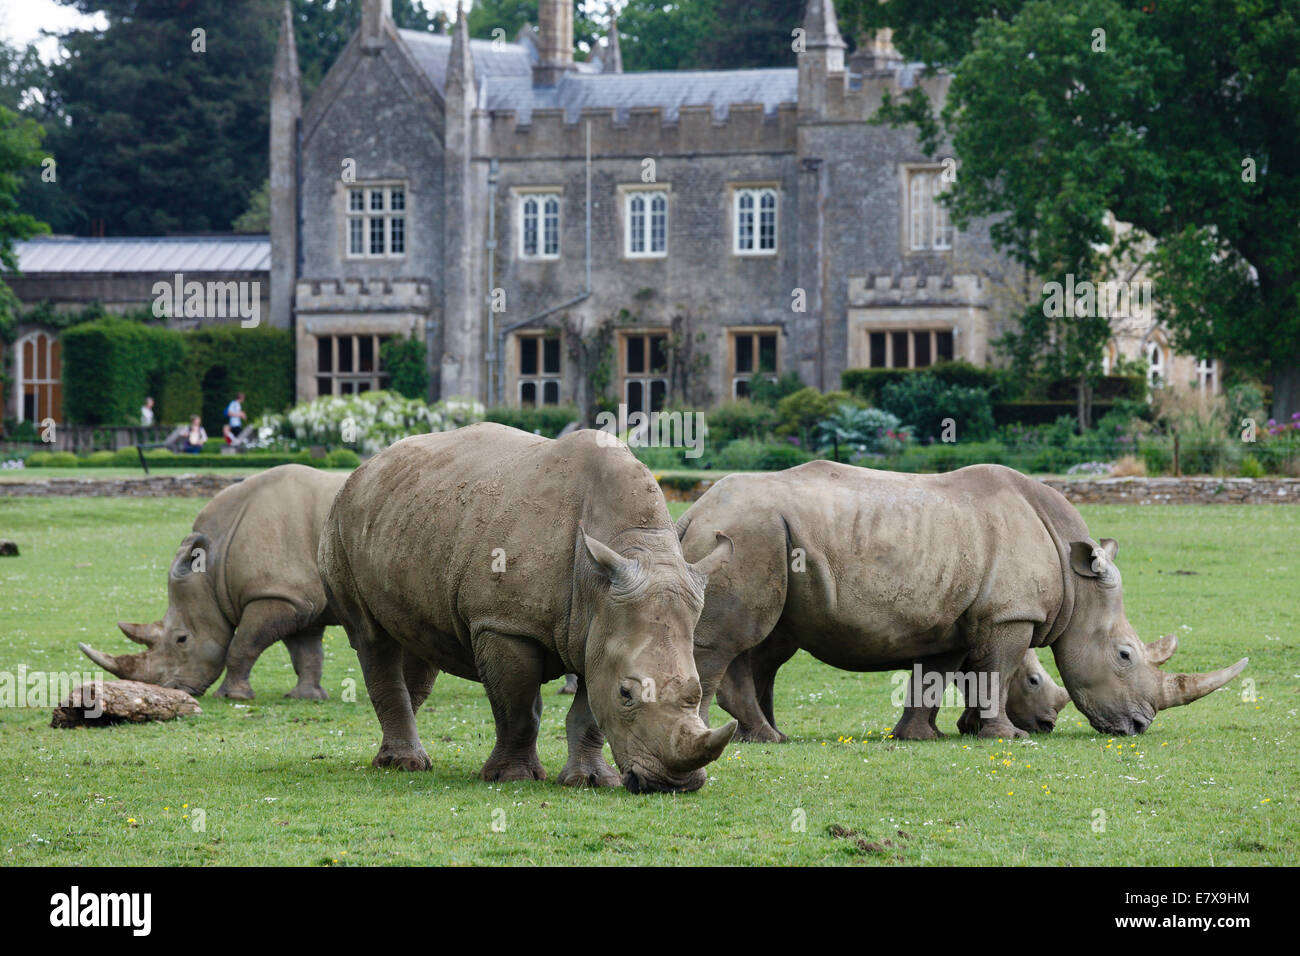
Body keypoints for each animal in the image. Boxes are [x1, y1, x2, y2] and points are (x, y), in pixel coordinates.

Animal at [80, 465, 347, 700]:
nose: (170, 690)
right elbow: (306, 653)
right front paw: (306, 697)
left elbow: (242, 645)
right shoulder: (298, 599)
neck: (214, 568)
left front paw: (231, 696)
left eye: (182, 639)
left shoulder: (277, 594)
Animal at [317, 423, 737, 793]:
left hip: (408, 515)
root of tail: (367, 466)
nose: (674, 785)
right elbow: (518, 710)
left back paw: (402, 758)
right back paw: (403, 764)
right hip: (339, 520)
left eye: (697, 691)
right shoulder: (504, 624)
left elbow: (589, 712)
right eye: (626, 694)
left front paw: (589, 781)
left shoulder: (599, 628)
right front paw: (511, 778)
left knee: (418, 642)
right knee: (371, 637)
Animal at [678, 462, 1245, 739]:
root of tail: (694, 510)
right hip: (748, 534)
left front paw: (925, 737)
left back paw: (764, 735)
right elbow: (997, 667)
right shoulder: (1009, 614)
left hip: (763, 538)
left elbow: (940, 674)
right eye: (1124, 655)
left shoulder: (951, 618)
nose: (1140, 727)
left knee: (765, 645)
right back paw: (736, 736)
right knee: (734, 640)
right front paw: (1006, 738)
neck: (1078, 581)